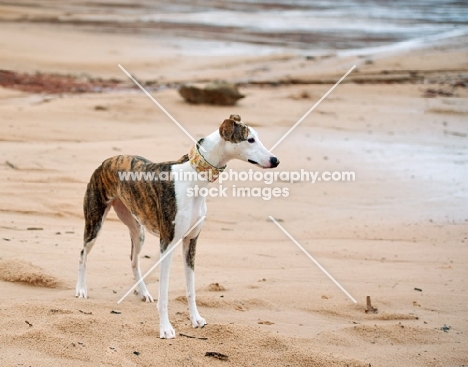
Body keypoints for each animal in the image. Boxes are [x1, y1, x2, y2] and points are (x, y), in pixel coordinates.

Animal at [75, 114, 280, 340]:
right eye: (249, 139)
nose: (275, 160)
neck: (194, 178)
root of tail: (106, 161)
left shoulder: (190, 241)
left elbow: (190, 288)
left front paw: (196, 319)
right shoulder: (167, 243)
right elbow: (164, 293)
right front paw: (165, 328)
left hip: (138, 232)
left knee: (133, 260)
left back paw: (143, 292)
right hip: (95, 222)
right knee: (83, 253)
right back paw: (81, 289)